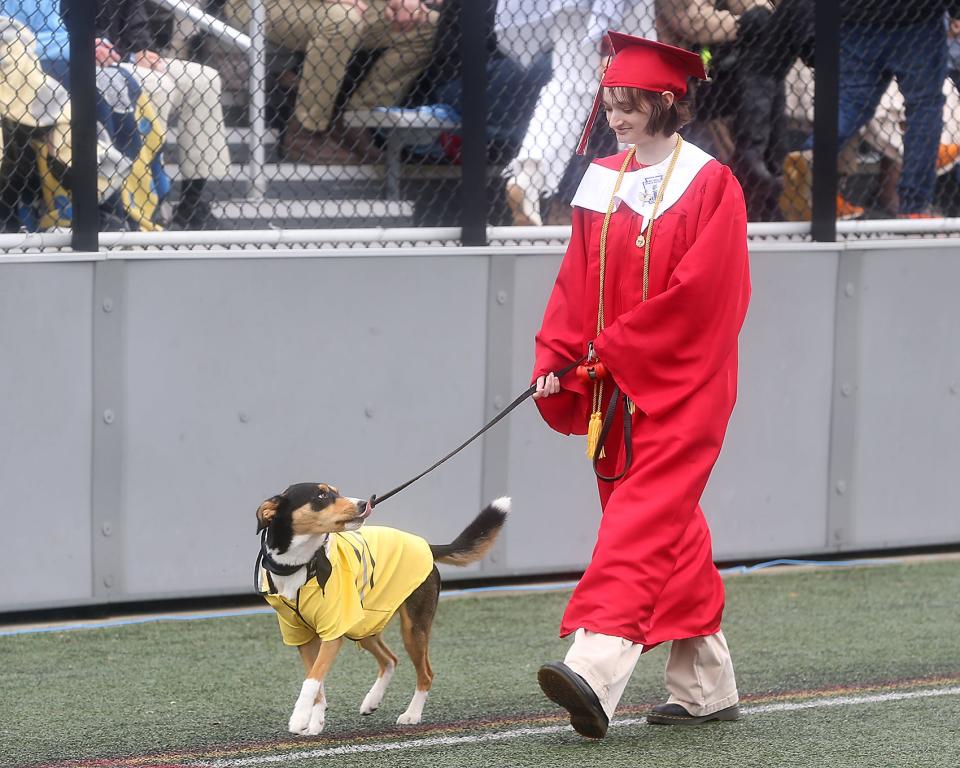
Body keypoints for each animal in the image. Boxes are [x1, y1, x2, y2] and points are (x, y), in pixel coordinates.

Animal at [255, 480, 510, 736]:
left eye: (335, 492)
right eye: (321, 495)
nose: (362, 504)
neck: (299, 565)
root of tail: (426, 546)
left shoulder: (333, 633)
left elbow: (312, 679)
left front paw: (299, 718)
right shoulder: (302, 637)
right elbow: (317, 682)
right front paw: (315, 723)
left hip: (412, 629)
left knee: (426, 673)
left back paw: (412, 714)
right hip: (362, 626)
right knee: (390, 659)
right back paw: (372, 700)